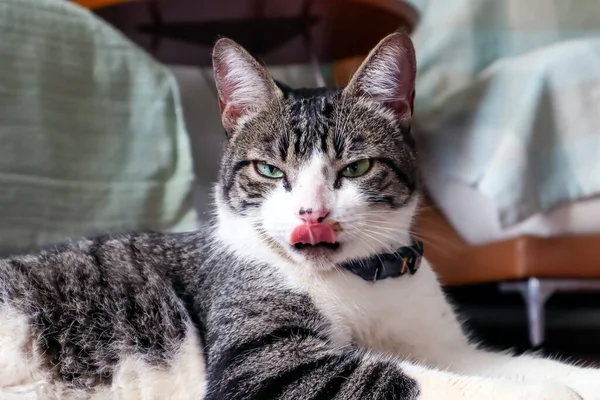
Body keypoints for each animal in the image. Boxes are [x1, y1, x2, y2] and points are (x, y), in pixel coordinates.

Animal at [0, 32, 596, 400]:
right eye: (268, 169)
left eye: (356, 167)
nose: (313, 213)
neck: (363, 282)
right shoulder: (265, 366)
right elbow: (412, 381)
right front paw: (549, 393)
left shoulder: (443, 346)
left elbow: (517, 362)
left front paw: (572, 380)